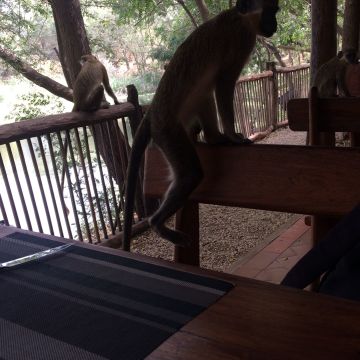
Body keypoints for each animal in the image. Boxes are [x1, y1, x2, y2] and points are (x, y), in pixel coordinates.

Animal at [122, 0, 280, 252]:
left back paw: (215, 138)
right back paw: (157, 223)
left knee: (204, 94)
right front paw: (233, 136)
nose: (273, 24)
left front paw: (226, 137)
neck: (241, 17)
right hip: (166, 129)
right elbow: (224, 82)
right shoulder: (242, 39)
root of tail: (153, 110)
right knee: (190, 174)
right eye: (270, 11)